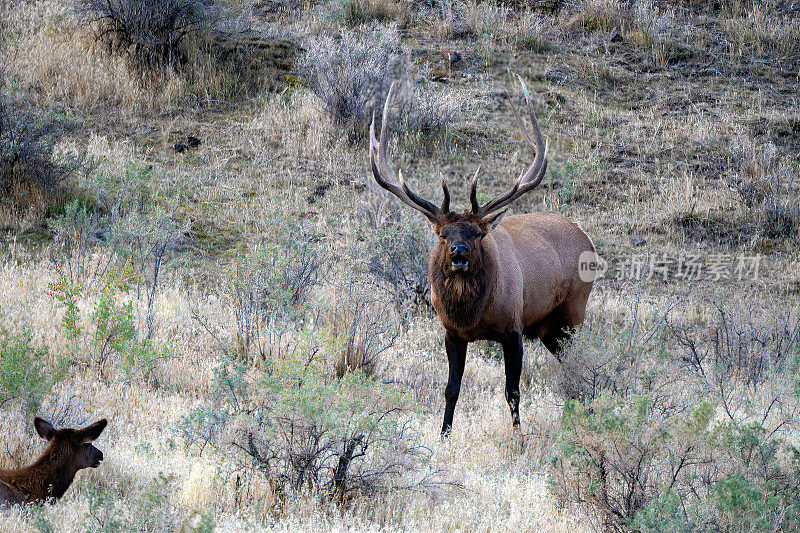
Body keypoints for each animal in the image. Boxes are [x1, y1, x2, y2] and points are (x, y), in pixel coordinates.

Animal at [368, 78, 592, 436]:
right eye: (443, 235)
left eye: (476, 234)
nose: (459, 254)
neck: (473, 314)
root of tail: (588, 240)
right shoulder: (452, 334)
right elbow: (451, 389)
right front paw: (444, 434)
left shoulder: (513, 328)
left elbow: (512, 391)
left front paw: (518, 437)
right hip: (548, 328)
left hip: (574, 311)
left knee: (581, 360)